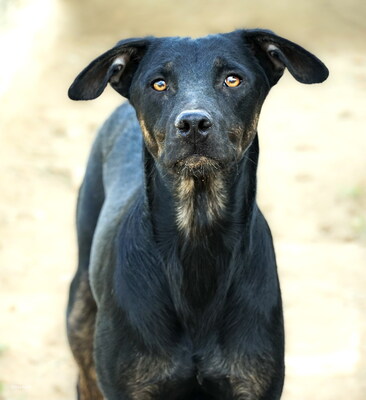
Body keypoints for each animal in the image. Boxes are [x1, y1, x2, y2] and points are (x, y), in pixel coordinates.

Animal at [66, 28, 328, 400]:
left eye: (233, 79)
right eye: (159, 84)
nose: (193, 123)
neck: (198, 238)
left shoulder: (253, 381)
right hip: (80, 306)